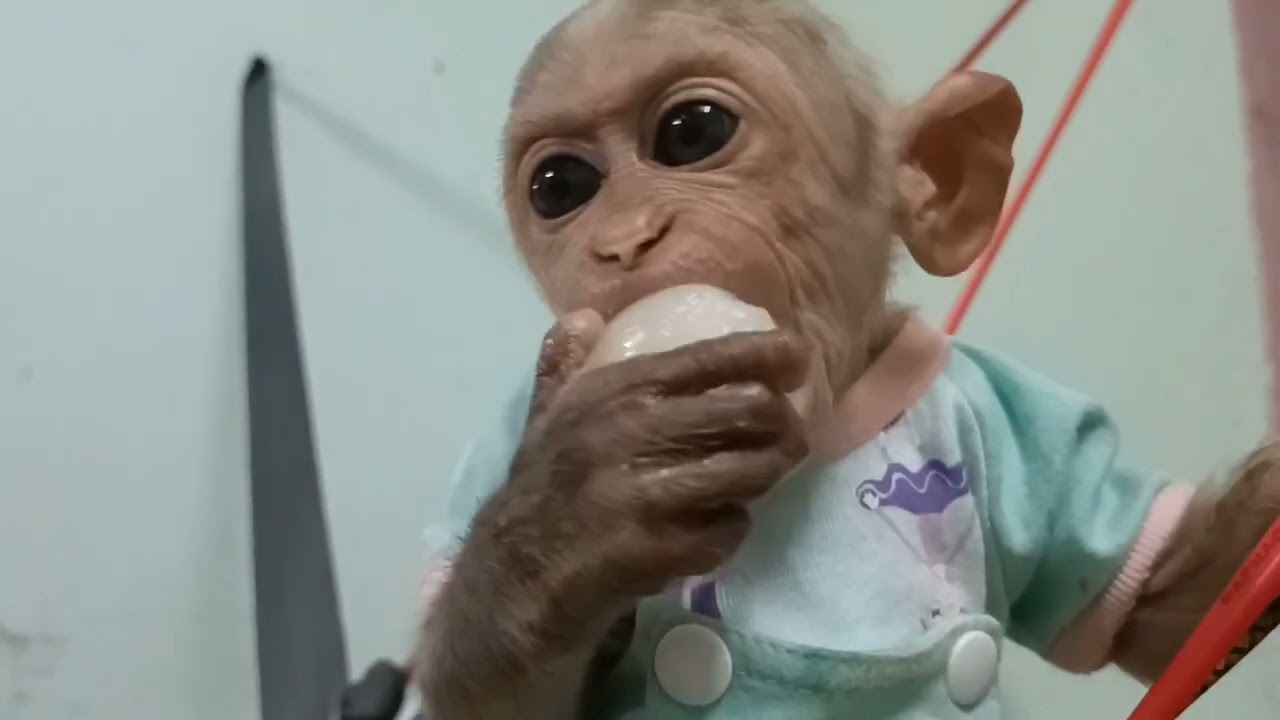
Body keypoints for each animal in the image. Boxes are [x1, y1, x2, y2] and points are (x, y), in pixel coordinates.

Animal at [411, 1, 1280, 718]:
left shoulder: (1021, 417)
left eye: (692, 133)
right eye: (562, 186)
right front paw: (575, 510)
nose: (623, 240)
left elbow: (1169, 615)